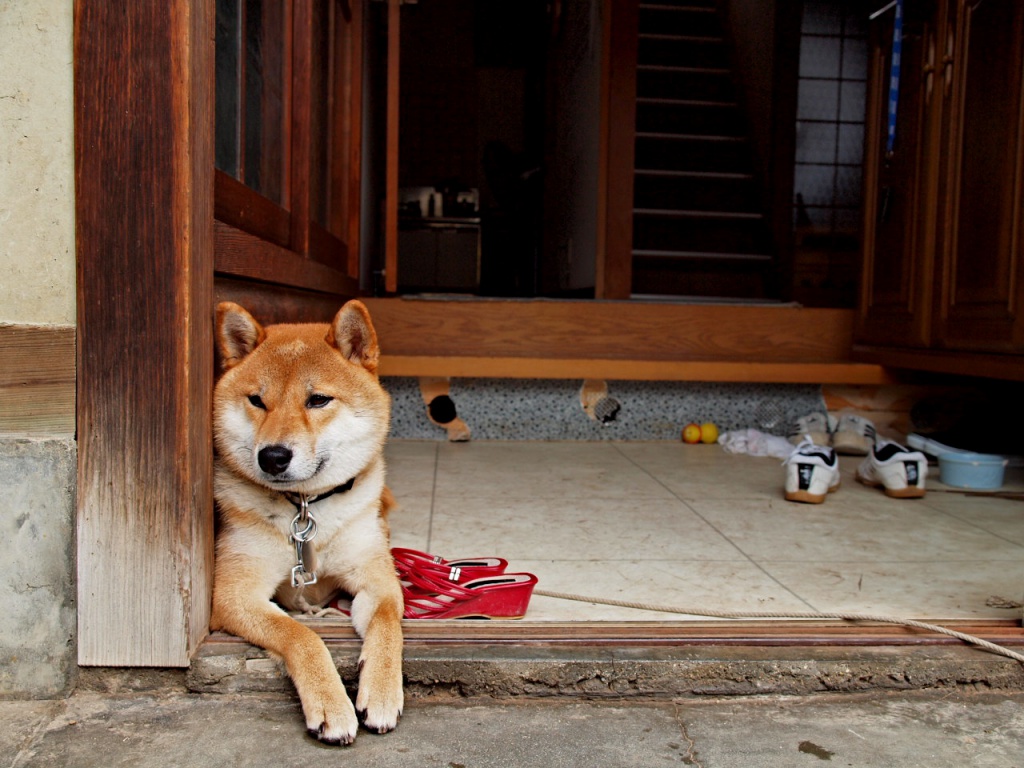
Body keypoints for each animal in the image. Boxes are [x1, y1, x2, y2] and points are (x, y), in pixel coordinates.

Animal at [210, 301, 403, 745]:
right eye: (257, 400)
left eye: (318, 400)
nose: (273, 456)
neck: (306, 509)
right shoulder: (233, 595)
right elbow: (301, 635)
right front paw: (330, 703)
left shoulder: (378, 581)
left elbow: (388, 623)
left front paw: (383, 690)